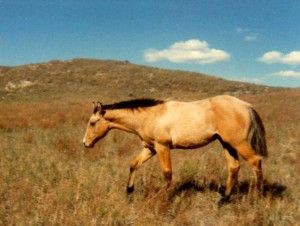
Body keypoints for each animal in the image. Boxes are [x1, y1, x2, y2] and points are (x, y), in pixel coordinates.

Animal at [82, 94, 268, 204]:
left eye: (92, 123)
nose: (85, 143)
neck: (149, 116)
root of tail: (246, 105)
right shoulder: (150, 148)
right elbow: (133, 164)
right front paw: (129, 192)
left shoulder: (162, 147)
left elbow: (167, 173)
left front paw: (163, 198)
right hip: (226, 144)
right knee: (234, 167)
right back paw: (223, 199)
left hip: (238, 143)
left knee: (255, 161)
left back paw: (257, 198)